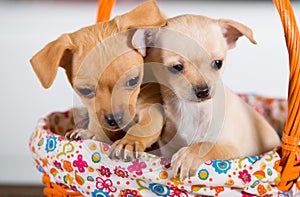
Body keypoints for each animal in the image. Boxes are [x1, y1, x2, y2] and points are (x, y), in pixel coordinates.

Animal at [30, 0, 165, 162]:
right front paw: (89, 133)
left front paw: (129, 142)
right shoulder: (96, 114)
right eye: (85, 91)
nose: (114, 120)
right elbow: (98, 126)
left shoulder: (151, 109)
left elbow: (142, 128)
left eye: (133, 81)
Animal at [132, 14, 280, 179]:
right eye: (176, 67)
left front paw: (188, 155)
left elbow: (208, 146)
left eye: (218, 63)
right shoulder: (168, 149)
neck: (193, 111)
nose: (203, 91)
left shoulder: (235, 150)